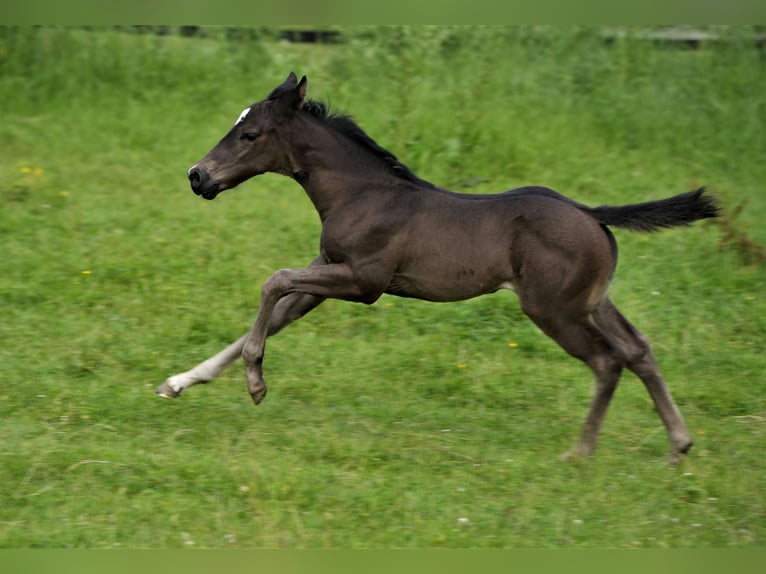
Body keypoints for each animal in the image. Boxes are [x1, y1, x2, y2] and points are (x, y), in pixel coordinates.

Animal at [158, 74, 720, 466]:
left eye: (250, 134)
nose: (196, 175)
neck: (362, 194)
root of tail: (592, 213)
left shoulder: (364, 282)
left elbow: (272, 281)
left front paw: (256, 384)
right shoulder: (327, 273)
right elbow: (275, 313)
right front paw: (180, 381)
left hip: (554, 309)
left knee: (608, 362)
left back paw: (580, 453)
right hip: (592, 302)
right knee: (638, 349)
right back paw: (679, 445)